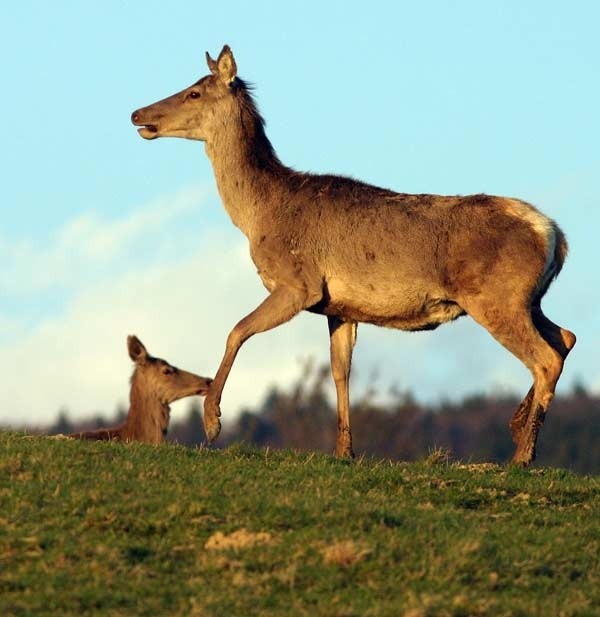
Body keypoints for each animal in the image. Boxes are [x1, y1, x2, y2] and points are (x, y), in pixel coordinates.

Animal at [132, 47, 576, 462]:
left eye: (194, 92)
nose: (137, 113)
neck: (259, 215)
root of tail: (554, 234)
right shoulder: (340, 308)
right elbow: (340, 371)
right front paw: (344, 449)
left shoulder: (300, 283)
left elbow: (236, 330)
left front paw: (212, 422)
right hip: (526, 300)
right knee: (565, 338)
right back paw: (518, 428)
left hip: (494, 298)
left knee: (545, 358)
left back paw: (521, 455)